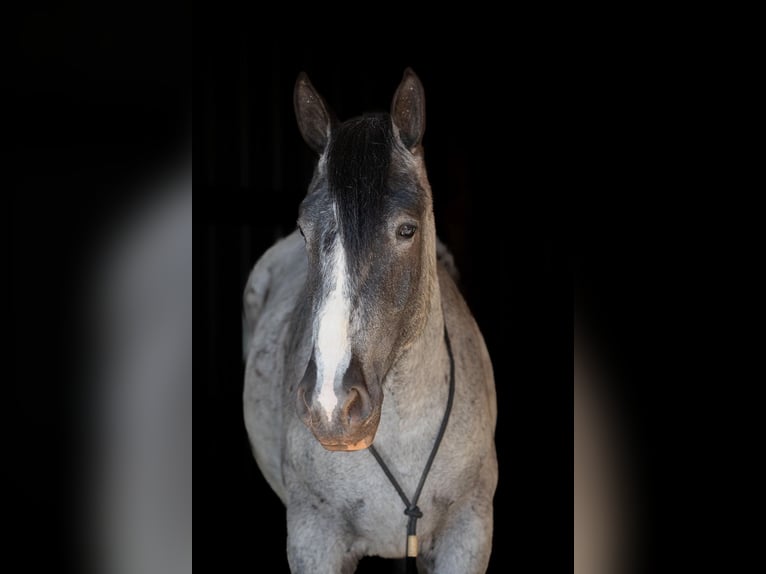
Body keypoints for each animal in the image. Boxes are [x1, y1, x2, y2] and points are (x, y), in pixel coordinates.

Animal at [243, 68, 500, 574]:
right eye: (303, 230)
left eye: (407, 229)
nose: (330, 405)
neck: (403, 431)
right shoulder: (314, 541)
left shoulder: (468, 534)